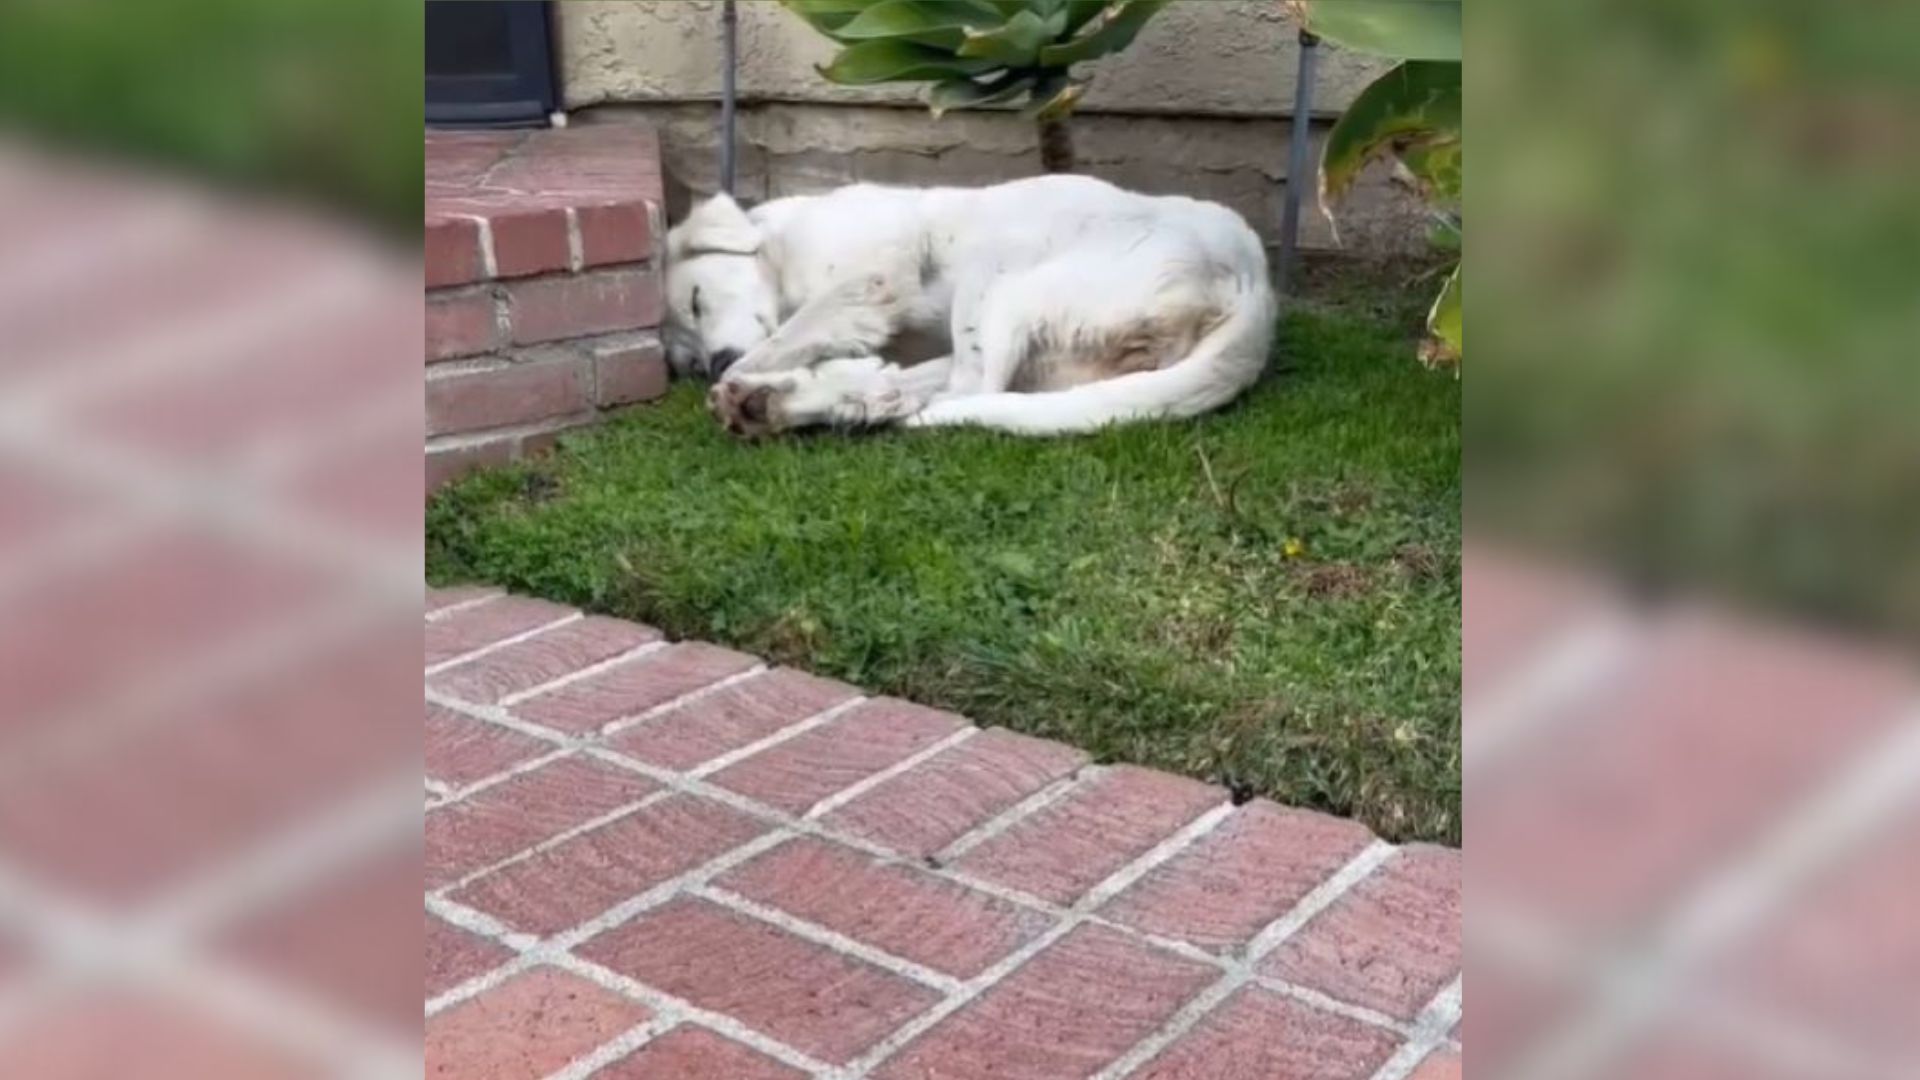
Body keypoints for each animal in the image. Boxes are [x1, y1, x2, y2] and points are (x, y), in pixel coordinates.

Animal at [664, 171, 1274, 432]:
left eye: (695, 300)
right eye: (683, 359)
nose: (709, 364)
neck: (779, 252)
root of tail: (1254, 286)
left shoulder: (876, 272)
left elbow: (781, 340)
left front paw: (745, 370)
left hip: (998, 274)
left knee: (968, 388)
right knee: (945, 386)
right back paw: (777, 404)